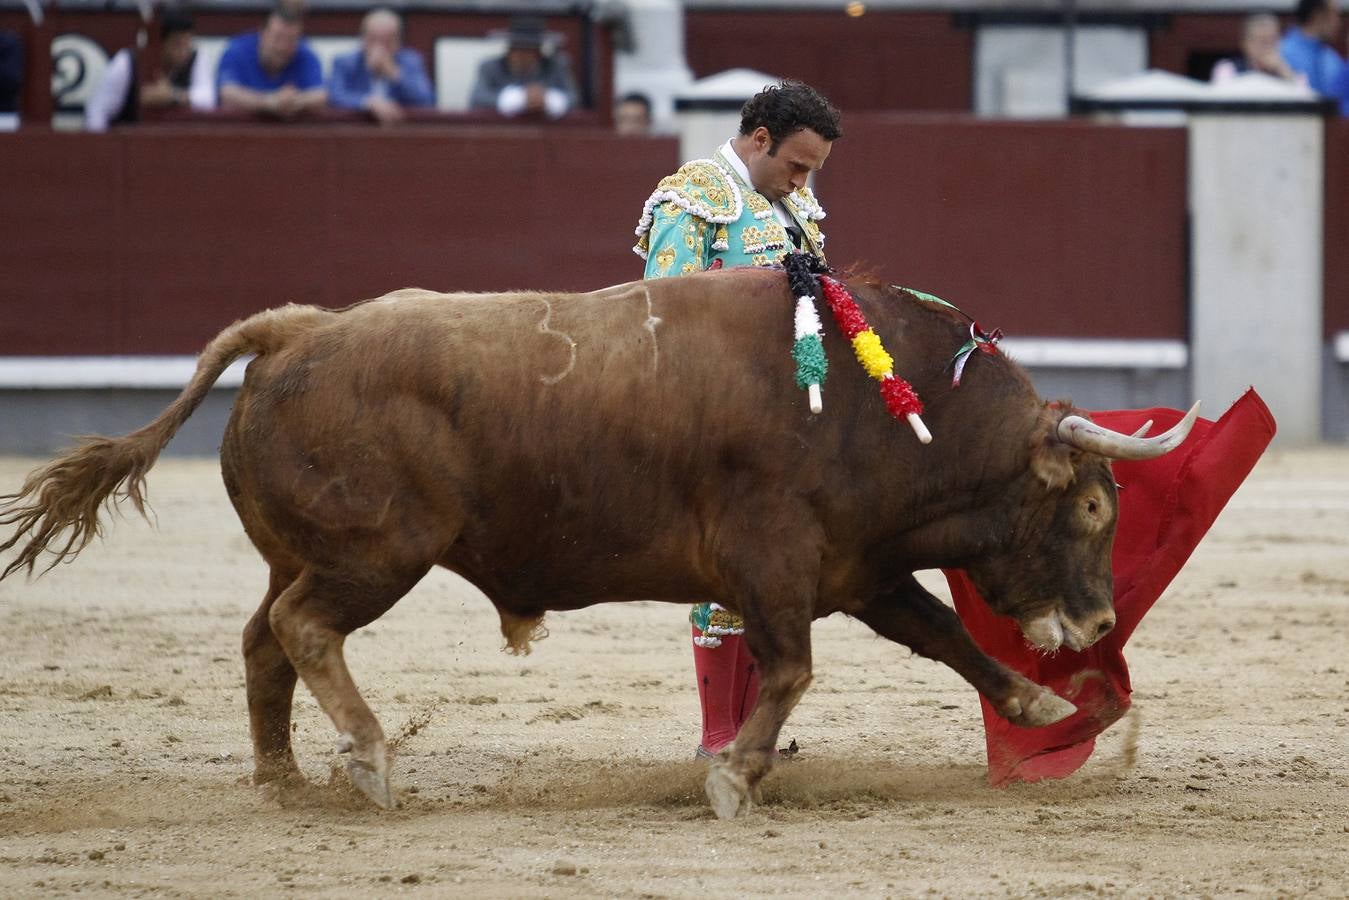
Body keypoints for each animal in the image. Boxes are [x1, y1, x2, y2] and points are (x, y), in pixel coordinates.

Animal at [2, 265, 1203, 814]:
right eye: (1093, 510)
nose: (1099, 619)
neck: (884, 403)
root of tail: (294, 329)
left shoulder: (857, 566)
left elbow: (943, 641)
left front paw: (1043, 708)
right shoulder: (775, 562)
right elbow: (792, 670)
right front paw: (733, 779)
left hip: (303, 550)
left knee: (261, 642)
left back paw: (286, 776)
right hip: (374, 556)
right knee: (302, 631)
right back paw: (374, 759)